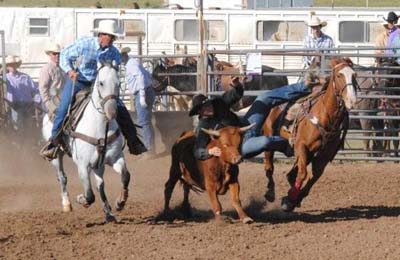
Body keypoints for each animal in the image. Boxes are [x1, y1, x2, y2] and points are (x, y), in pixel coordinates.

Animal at [43, 61, 132, 221]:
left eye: (119, 83)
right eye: (101, 83)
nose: (112, 112)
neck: (100, 127)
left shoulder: (115, 157)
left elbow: (125, 176)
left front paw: (120, 202)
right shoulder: (83, 165)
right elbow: (89, 195)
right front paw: (81, 199)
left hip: (98, 164)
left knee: (100, 184)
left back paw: (109, 213)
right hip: (57, 156)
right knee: (62, 177)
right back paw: (67, 204)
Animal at [262, 57, 356, 211]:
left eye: (354, 75)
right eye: (339, 75)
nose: (351, 100)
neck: (325, 116)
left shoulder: (324, 155)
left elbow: (314, 176)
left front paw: (294, 198)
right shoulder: (301, 146)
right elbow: (303, 174)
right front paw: (290, 199)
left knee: (290, 175)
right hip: (270, 139)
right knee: (270, 166)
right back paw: (270, 192)